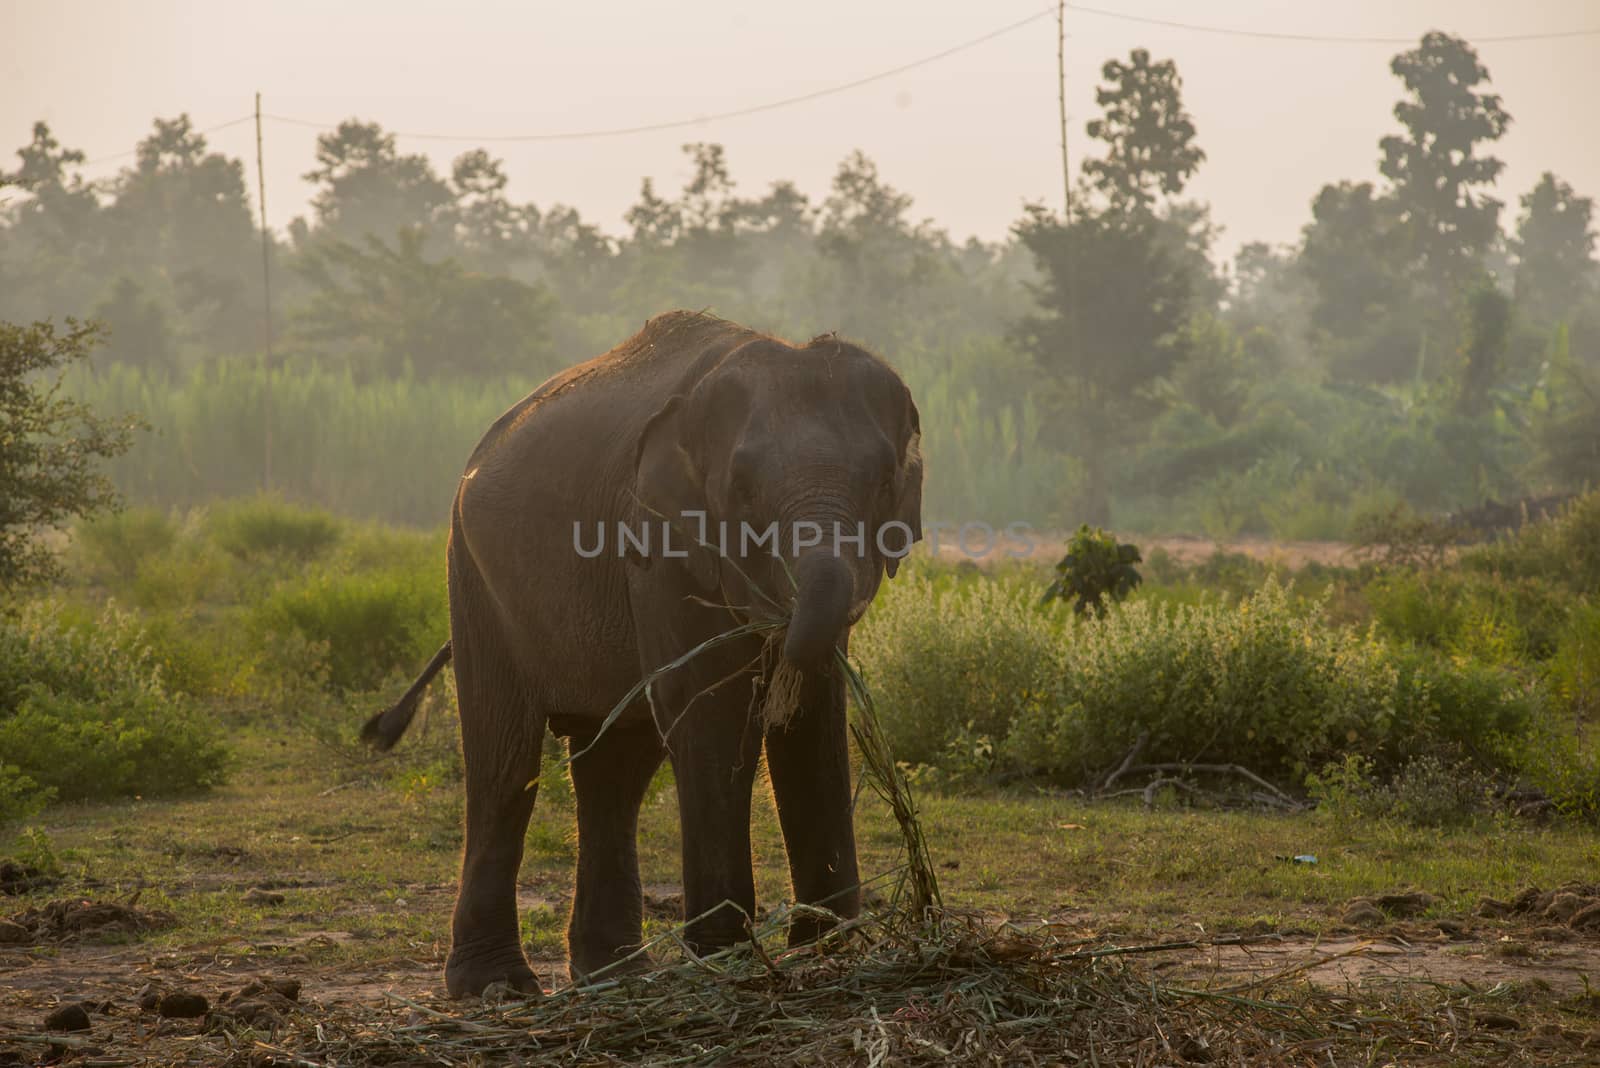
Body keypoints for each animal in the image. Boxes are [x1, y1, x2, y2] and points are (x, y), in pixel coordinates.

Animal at [356, 313, 921, 997]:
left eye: (885, 483)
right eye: (741, 489)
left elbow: (813, 719)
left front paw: (825, 952)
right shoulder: (657, 544)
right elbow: (710, 715)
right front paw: (726, 960)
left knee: (615, 768)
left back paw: (613, 975)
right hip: (471, 576)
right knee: (505, 763)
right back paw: (499, 987)